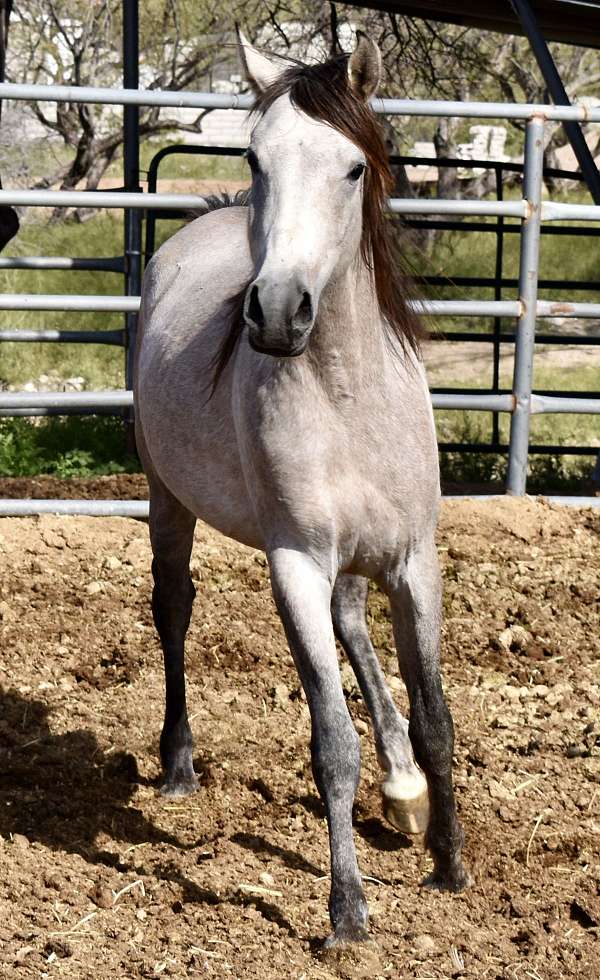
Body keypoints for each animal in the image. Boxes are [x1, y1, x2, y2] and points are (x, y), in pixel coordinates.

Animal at [134, 30, 469, 948]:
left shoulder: (414, 561)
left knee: (355, 629)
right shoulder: (297, 565)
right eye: (257, 157)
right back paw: (178, 763)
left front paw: (450, 865)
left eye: (354, 167)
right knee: (173, 606)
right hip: (167, 496)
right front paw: (347, 911)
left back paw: (404, 790)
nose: (278, 312)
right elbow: (331, 741)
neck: (347, 395)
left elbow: (435, 718)